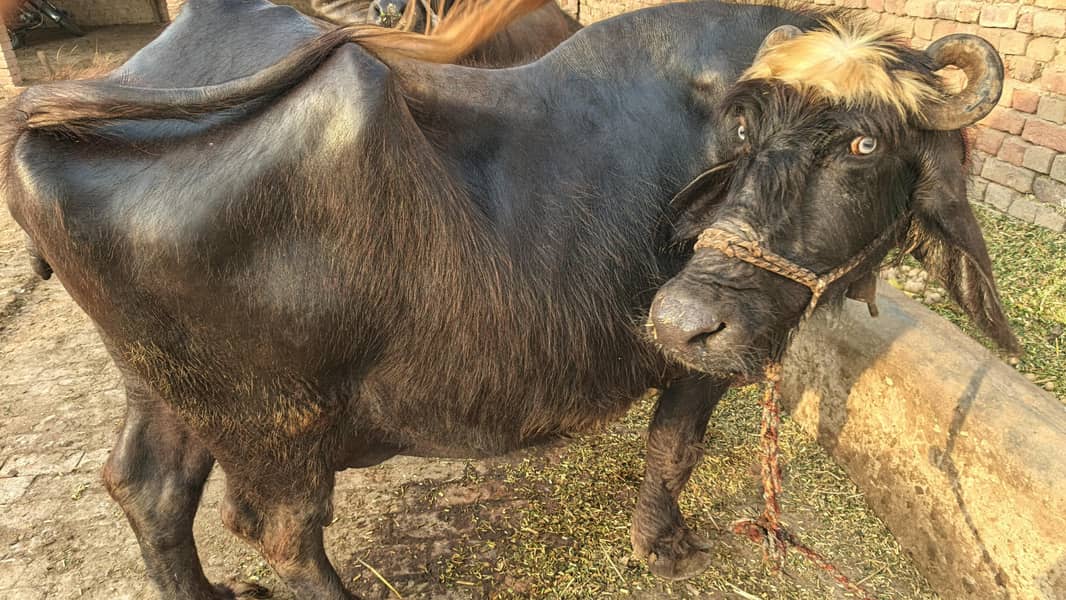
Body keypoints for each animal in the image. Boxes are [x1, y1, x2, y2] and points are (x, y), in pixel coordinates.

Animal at [2, 0, 1015, 598]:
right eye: (743, 132)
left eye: (862, 144)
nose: (680, 315)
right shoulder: (703, 363)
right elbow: (677, 447)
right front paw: (668, 545)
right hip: (275, 424)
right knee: (279, 531)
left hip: (160, 386)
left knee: (149, 491)